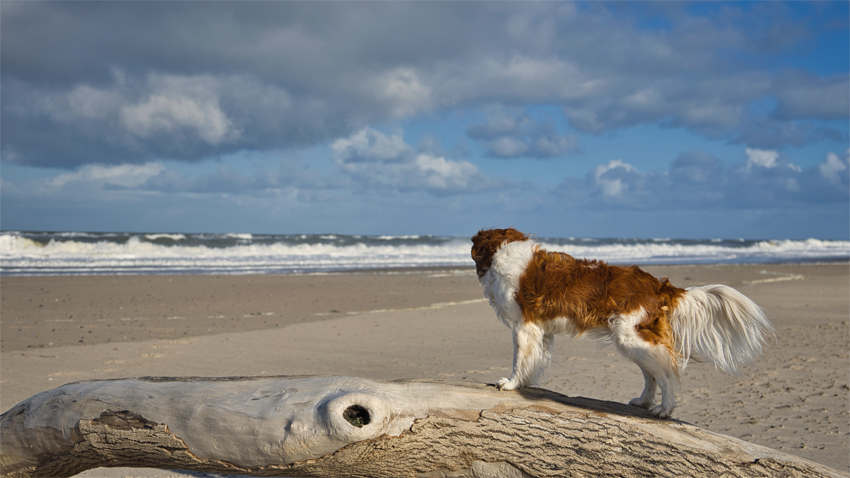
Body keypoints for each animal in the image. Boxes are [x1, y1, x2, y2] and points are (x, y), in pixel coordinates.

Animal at [468, 226, 772, 416]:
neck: (503, 251)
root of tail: (658, 285)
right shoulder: (540, 330)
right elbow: (534, 360)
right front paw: (526, 384)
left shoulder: (524, 326)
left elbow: (519, 359)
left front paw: (511, 384)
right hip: (634, 341)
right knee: (652, 375)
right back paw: (644, 401)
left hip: (632, 338)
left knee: (665, 375)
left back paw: (665, 409)